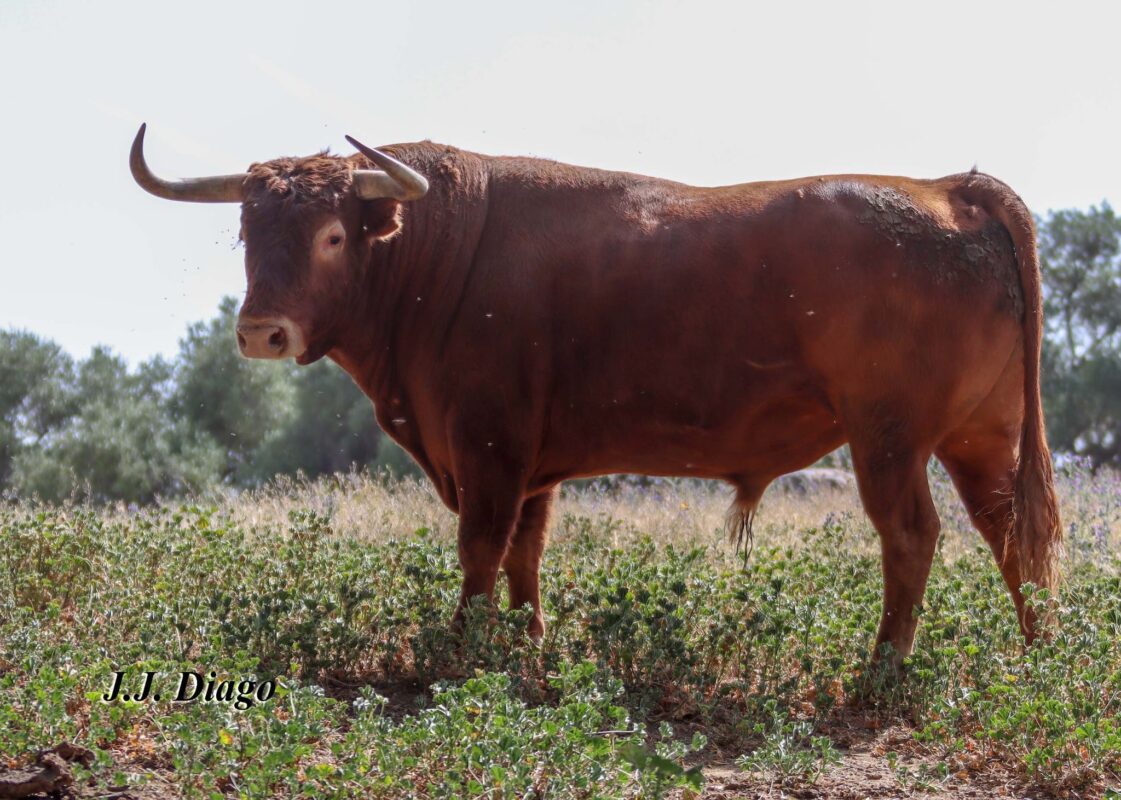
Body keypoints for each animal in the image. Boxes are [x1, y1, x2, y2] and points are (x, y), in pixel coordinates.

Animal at [128, 123, 1058, 658]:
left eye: (329, 234)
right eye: (248, 231)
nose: (261, 331)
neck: (438, 254)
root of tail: (946, 189)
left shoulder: (489, 448)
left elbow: (481, 548)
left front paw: (460, 649)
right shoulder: (530, 463)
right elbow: (525, 556)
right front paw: (529, 648)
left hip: (888, 439)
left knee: (911, 536)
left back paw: (883, 669)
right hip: (980, 437)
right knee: (1012, 534)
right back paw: (1036, 654)